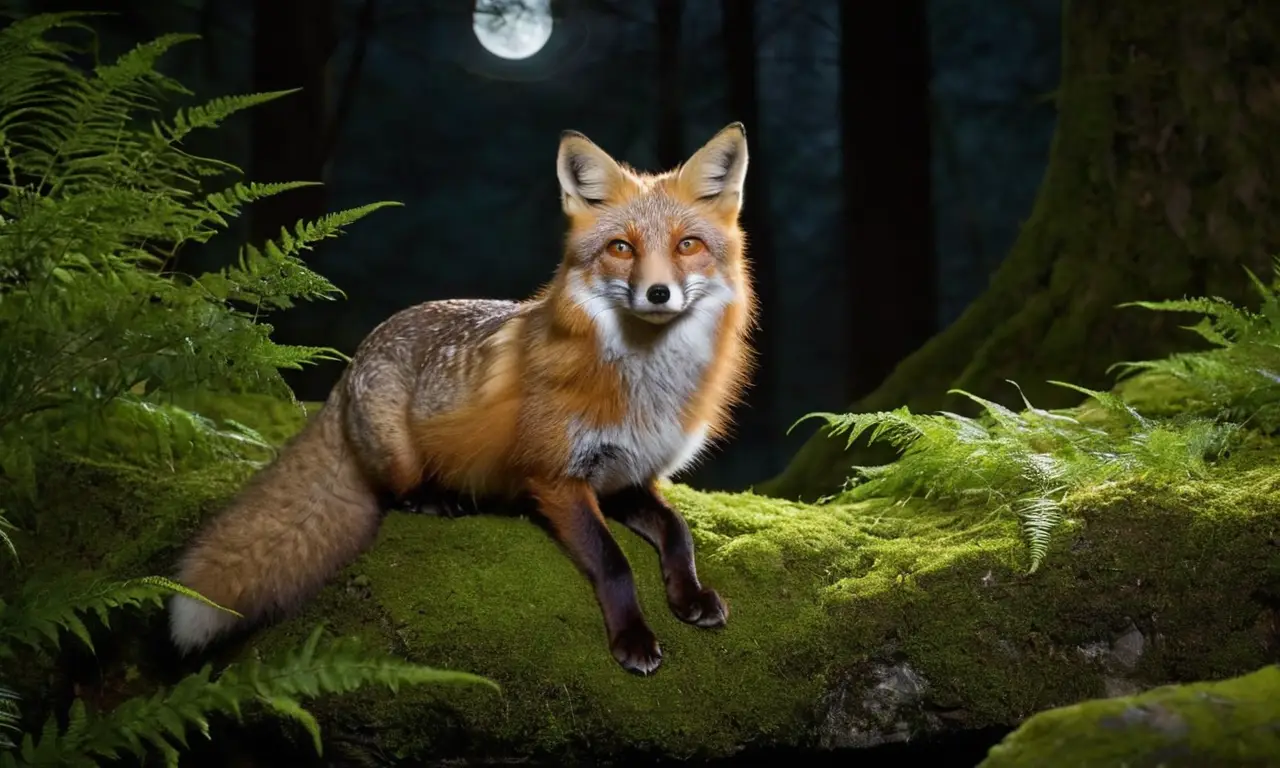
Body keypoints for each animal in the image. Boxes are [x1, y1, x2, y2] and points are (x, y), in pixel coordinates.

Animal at [167, 123, 756, 675]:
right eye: (621, 248)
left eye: (687, 245)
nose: (658, 293)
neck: (645, 386)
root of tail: (355, 360)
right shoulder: (557, 479)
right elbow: (613, 562)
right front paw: (632, 638)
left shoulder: (627, 479)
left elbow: (678, 533)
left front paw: (690, 596)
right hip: (402, 457)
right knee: (396, 494)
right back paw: (439, 498)